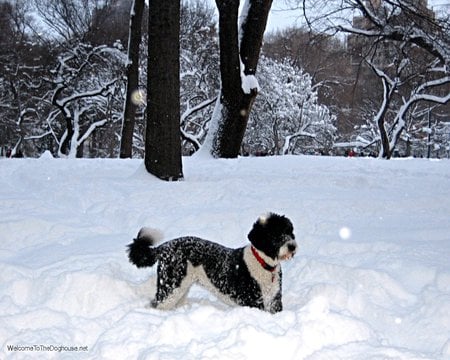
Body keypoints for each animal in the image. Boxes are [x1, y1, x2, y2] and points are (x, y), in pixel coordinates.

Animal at [127, 214, 296, 312]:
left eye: (289, 231)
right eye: (275, 235)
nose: (292, 246)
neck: (263, 264)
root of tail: (163, 247)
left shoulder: (275, 299)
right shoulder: (253, 301)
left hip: (181, 287)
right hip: (171, 286)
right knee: (157, 304)